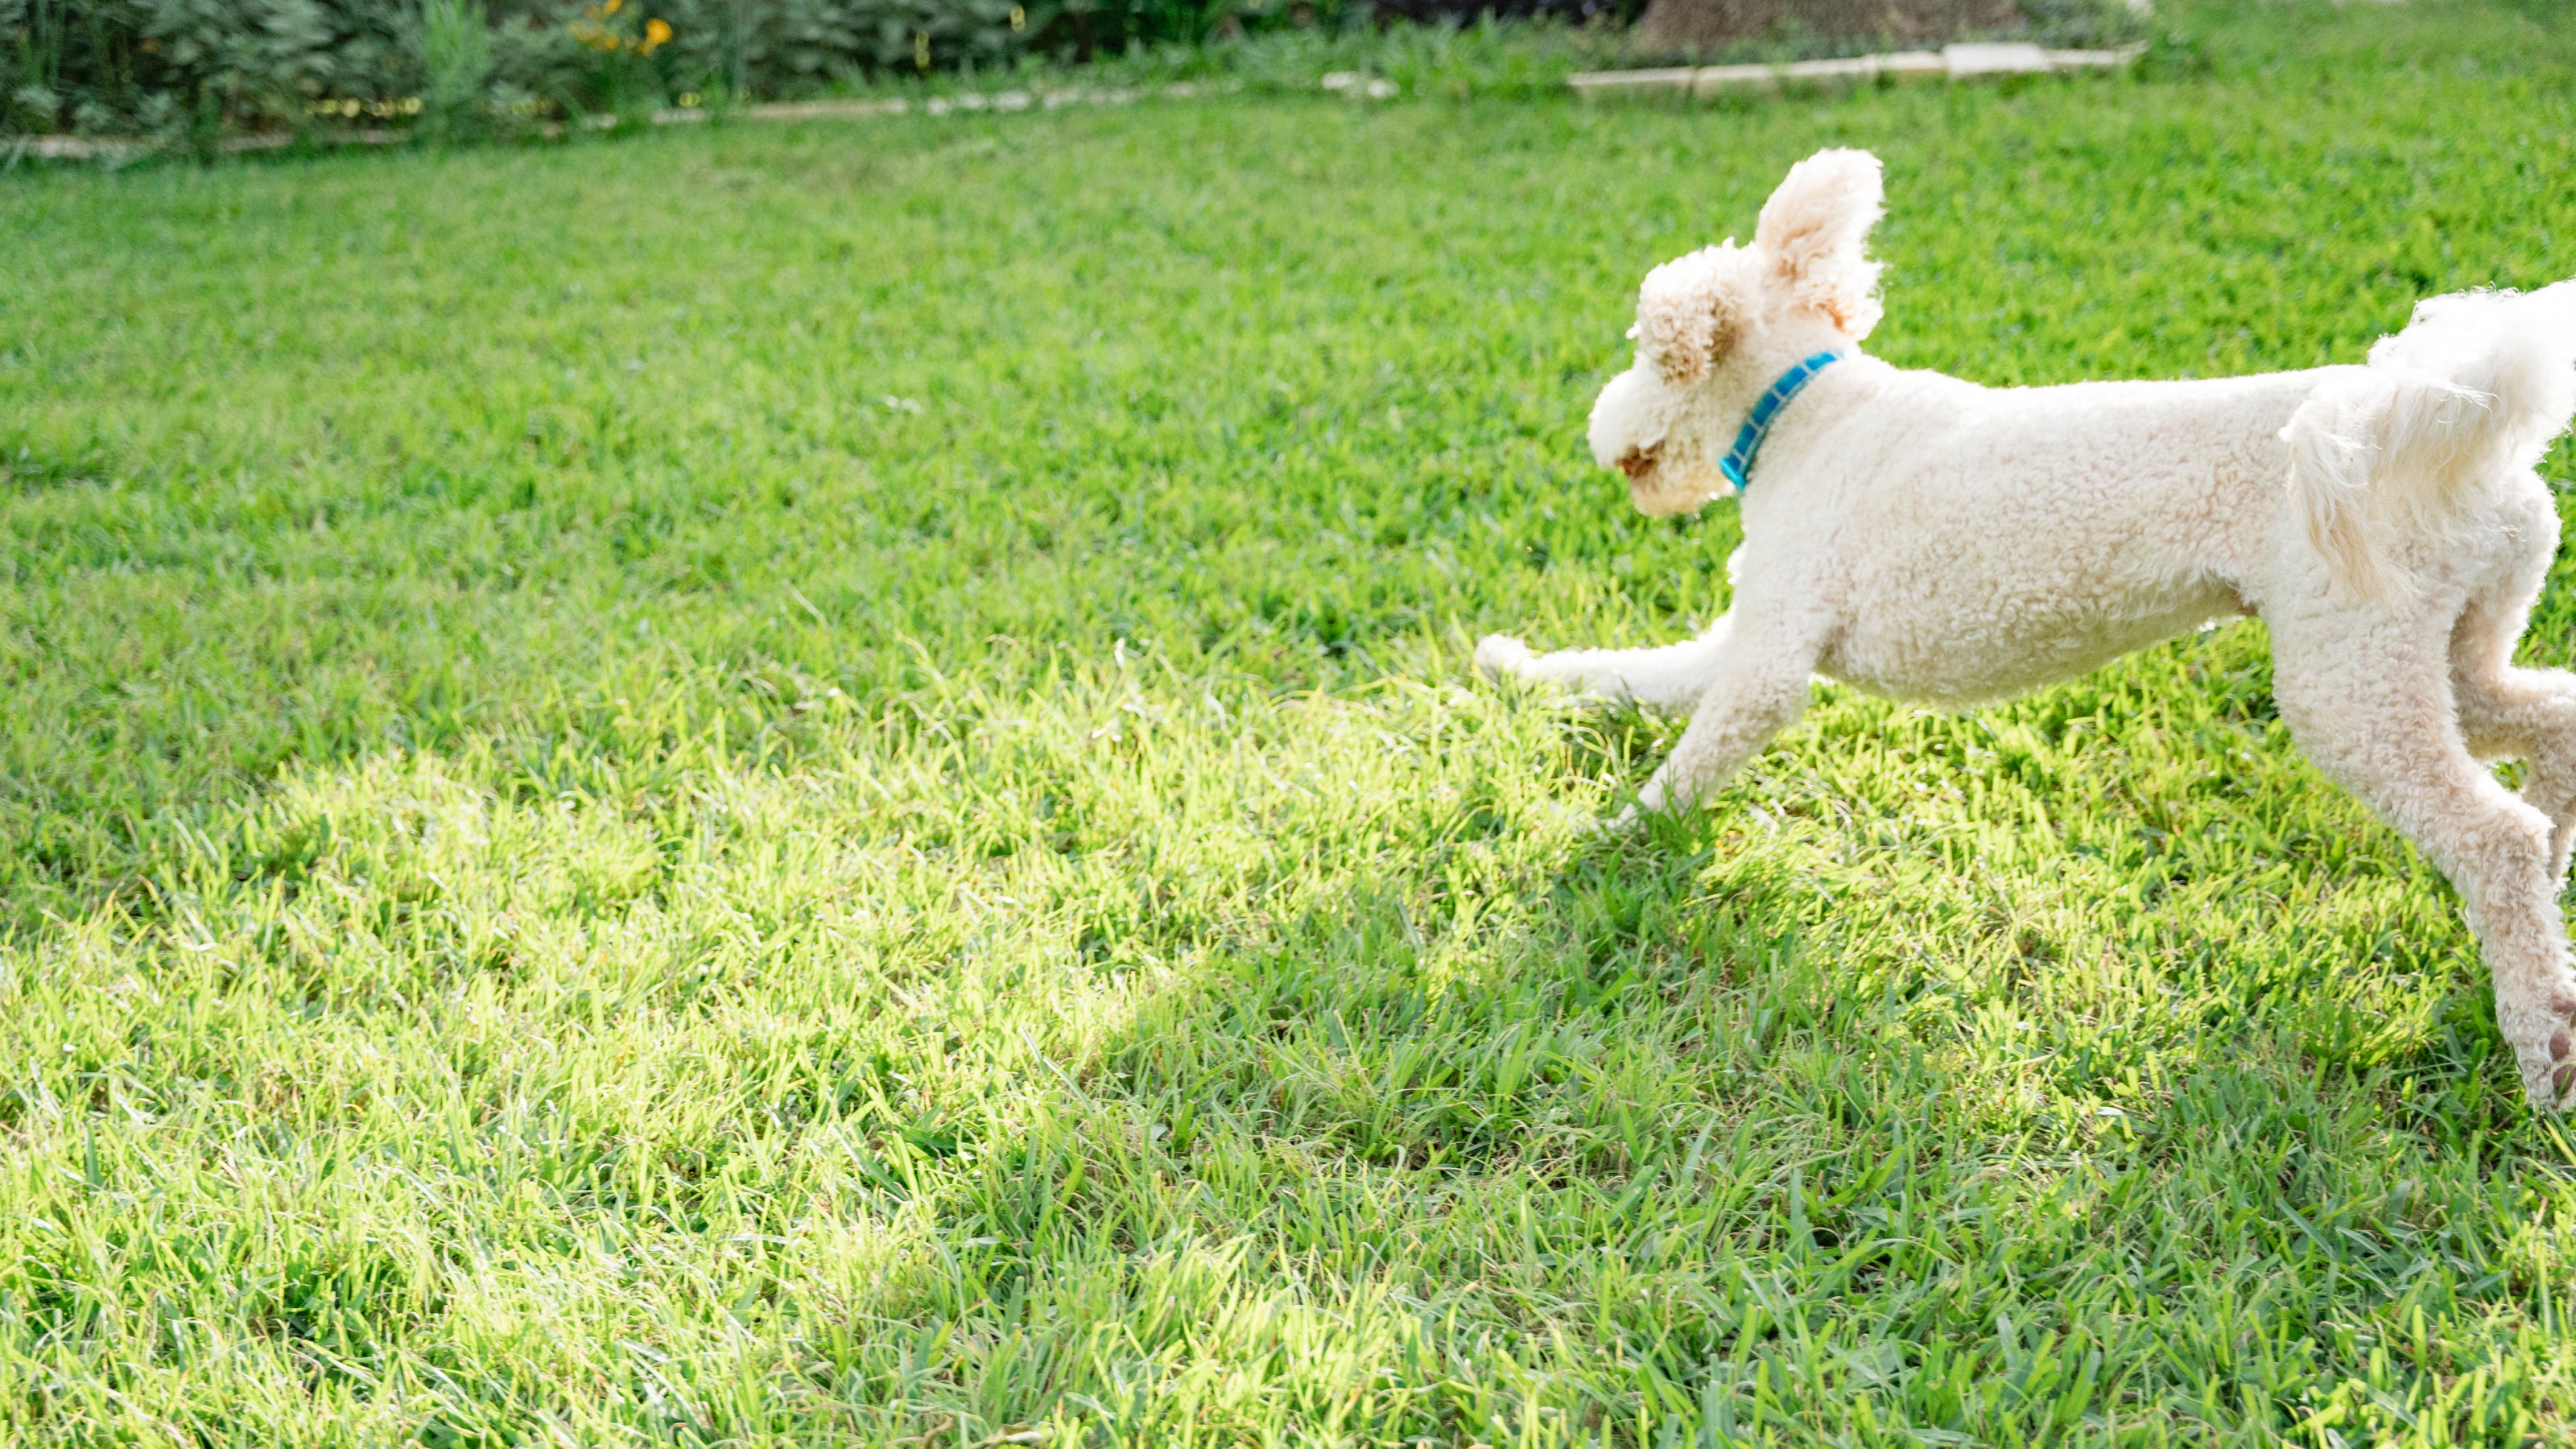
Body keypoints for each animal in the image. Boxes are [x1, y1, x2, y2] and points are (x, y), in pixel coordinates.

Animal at [1484, 149, 2576, 1103]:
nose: (1598, 431)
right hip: (2440, 647)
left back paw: (2544, 1047)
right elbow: (1621, 673)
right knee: (2550, 721)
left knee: (2494, 836)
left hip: (2345, 677)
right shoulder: (1739, 638)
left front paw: (1604, 842)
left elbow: (1687, 764)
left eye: (1642, 351)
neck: (1805, 413)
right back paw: (2556, 902)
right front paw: (1508, 668)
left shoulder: (1769, 662)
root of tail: (2457, 430)